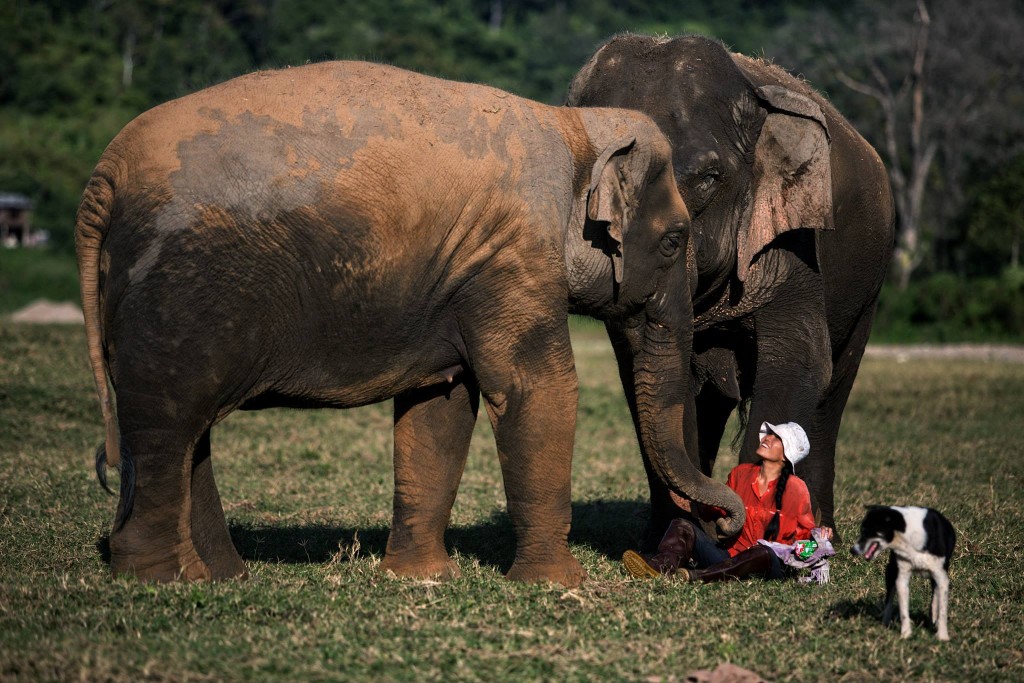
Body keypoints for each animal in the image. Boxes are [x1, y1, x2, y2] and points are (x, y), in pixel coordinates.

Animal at [569, 37, 897, 540]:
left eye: (708, 178)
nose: (722, 520)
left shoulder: (792, 245)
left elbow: (798, 362)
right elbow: (647, 375)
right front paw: (678, 537)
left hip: (868, 287)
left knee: (833, 392)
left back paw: (823, 533)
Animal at [851, 507, 954, 643]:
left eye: (866, 531)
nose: (852, 550)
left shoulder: (941, 578)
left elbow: (942, 610)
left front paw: (942, 636)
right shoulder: (901, 579)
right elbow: (903, 611)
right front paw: (906, 634)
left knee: (934, 599)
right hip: (891, 572)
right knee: (889, 601)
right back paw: (885, 624)